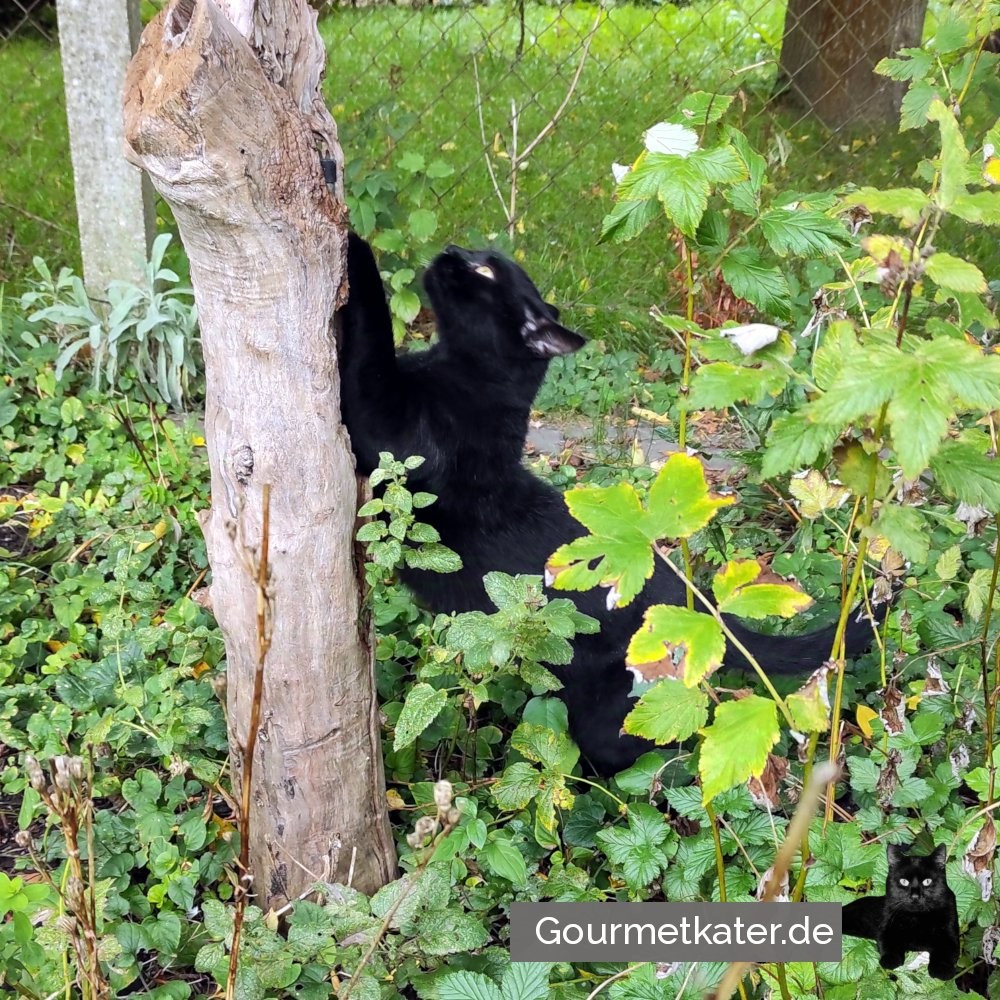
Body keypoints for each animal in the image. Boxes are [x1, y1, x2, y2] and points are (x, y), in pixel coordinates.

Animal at [338, 232, 884, 772]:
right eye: (476, 256)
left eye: (486, 271)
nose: (453, 251)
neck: (468, 375)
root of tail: (707, 612)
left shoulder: (390, 433)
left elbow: (372, 336)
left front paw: (353, 243)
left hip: (613, 710)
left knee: (651, 736)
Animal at [844, 844, 960, 976]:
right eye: (904, 881)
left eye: (927, 881)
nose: (915, 896)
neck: (917, 918)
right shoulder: (886, 929)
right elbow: (889, 944)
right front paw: (890, 960)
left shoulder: (950, 936)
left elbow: (944, 952)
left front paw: (941, 970)